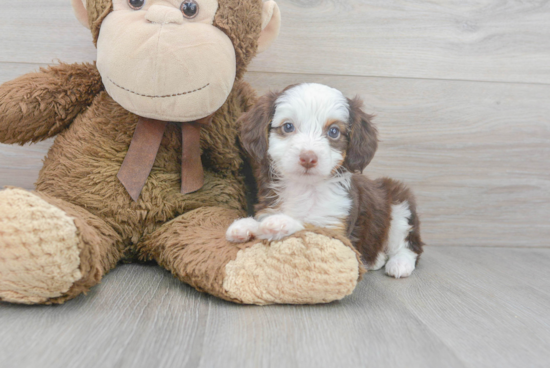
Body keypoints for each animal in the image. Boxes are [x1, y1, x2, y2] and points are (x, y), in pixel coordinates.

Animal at [229, 84, 426, 278]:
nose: (308, 158)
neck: (305, 188)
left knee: (410, 245)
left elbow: (311, 226)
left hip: (400, 205)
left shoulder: (337, 229)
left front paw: (281, 223)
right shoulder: (269, 207)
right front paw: (246, 225)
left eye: (333, 132)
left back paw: (400, 263)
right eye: (288, 127)